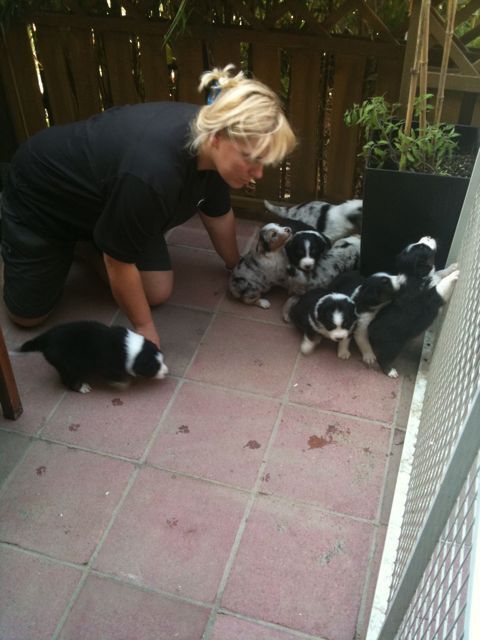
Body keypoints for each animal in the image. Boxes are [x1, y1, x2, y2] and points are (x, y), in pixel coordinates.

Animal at [20, 321, 168, 393]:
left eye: (162, 360)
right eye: (155, 367)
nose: (167, 372)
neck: (129, 349)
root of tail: (45, 338)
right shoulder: (108, 366)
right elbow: (116, 377)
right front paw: (123, 384)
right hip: (65, 365)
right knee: (67, 379)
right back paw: (81, 387)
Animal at [368, 237, 460, 377]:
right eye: (423, 247)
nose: (428, 236)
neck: (415, 275)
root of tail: (370, 328)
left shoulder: (433, 277)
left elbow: (440, 272)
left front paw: (453, 267)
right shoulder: (430, 297)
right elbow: (441, 285)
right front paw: (455, 273)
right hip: (393, 345)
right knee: (383, 358)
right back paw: (390, 372)